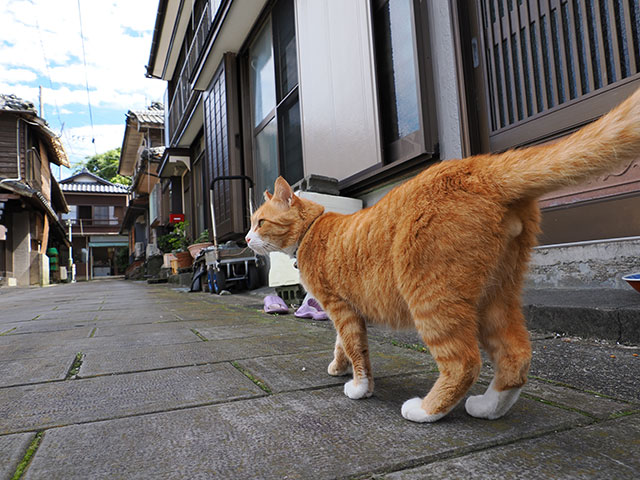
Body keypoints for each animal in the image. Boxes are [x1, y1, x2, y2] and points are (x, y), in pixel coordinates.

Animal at [248, 88, 640, 422]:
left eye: (260, 222)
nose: (248, 239)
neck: (314, 229)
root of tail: (481, 167)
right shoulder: (348, 309)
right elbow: (341, 344)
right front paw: (338, 367)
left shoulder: (340, 307)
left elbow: (356, 348)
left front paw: (359, 387)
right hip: (496, 295)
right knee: (515, 357)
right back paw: (487, 408)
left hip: (431, 296)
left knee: (464, 362)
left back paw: (425, 411)